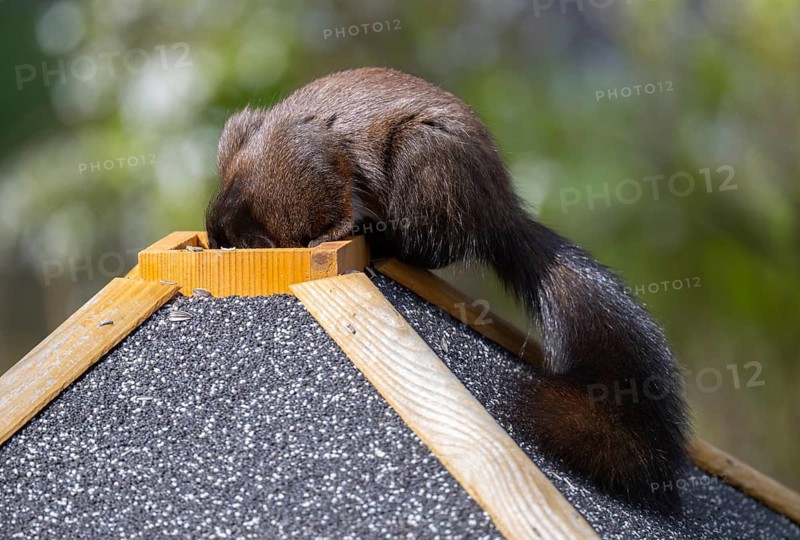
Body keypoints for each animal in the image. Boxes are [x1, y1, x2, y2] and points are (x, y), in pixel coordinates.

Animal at [206, 67, 689, 508]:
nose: (217, 245)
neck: (254, 186)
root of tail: (499, 211)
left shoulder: (315, 163)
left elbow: (339, 201)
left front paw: (328, 237)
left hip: (426, 163)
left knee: (432, 243)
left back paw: (387, 240)